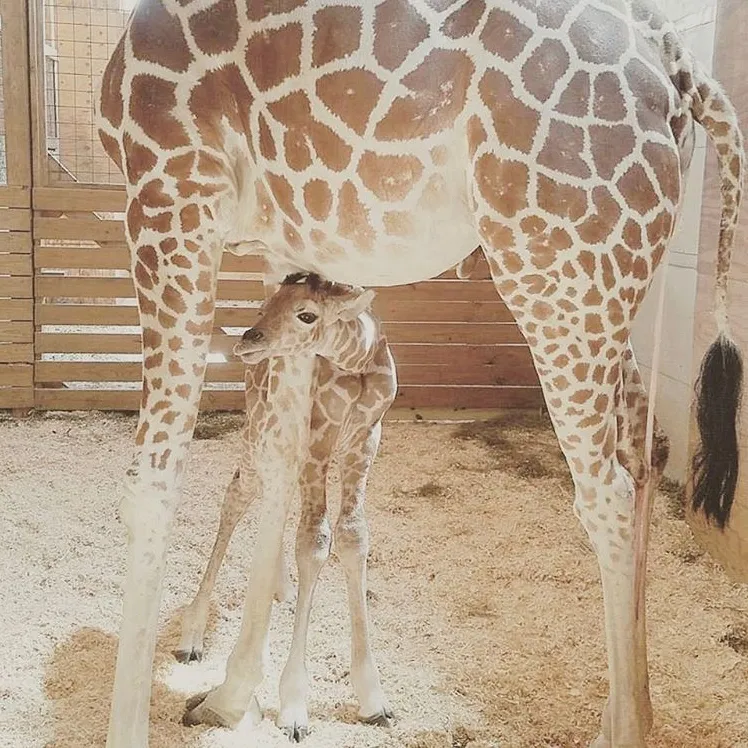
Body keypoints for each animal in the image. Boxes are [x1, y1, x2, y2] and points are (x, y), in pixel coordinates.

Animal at [177, 272, 397, 739]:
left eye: (306, 314)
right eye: (265, 306)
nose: (248, 339)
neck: (357, 359)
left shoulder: (366, 438)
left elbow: (352, 536)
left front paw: (374, 699)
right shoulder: (316, 441)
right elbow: (313, 543)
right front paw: (295, 706)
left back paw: (280, 587)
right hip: (257, 434)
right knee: (237, 497)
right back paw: (192, 638)